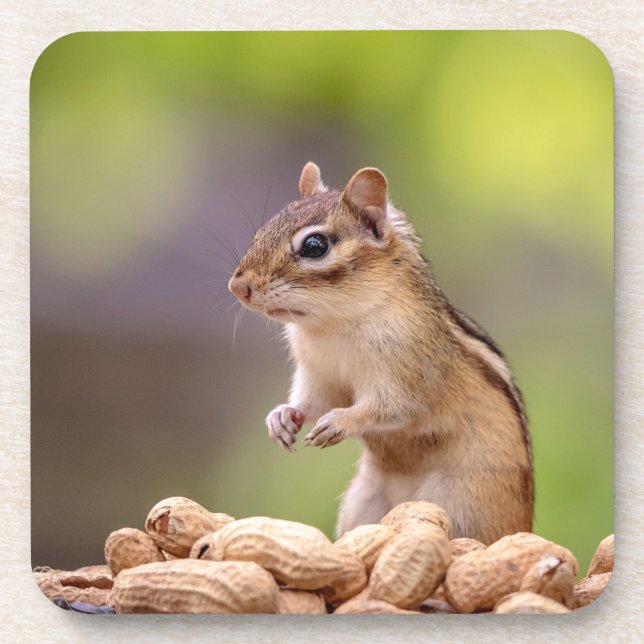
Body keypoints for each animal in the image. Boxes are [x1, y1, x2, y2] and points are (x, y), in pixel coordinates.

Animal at [228, 162, 534, 544]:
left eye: (314, 246)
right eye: (261, 232)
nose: (238, 287)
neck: (333, 324)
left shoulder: (410, 375)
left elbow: (392, 408)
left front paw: (339, 422)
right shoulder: (318, 376)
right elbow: (313, 402)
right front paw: (282, 417)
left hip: (461, 505)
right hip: (363, 503)